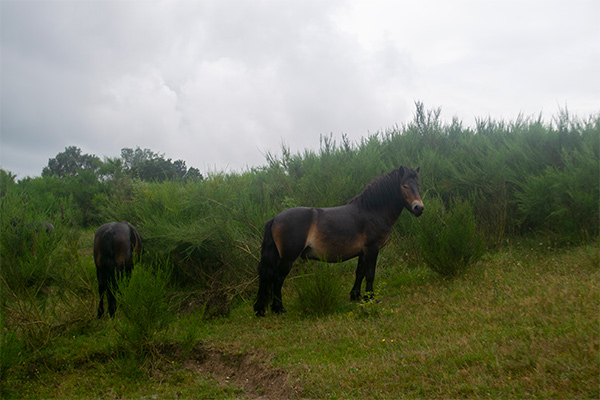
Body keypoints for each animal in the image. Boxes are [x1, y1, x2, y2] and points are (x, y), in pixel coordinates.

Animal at [255, 166, 424, 316]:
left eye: (418, 185)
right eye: (404, 185)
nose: (419, 208)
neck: (371, 211)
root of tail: (275, 218)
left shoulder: (363, 252)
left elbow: (360, 273)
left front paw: (356, 296)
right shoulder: (372, 249)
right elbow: (370, 274)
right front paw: (371, 298)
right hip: (288, 258)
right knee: (277, 279)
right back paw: (279, 309)